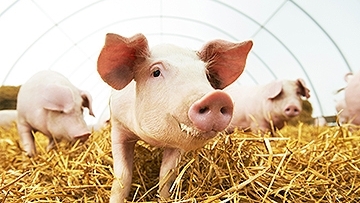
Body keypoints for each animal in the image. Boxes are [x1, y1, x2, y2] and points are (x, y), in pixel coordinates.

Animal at [96, 32, 253, 202]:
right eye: (156, 72)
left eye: (205, 75)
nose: (216, 98)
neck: (153, 140)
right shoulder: (118, 126)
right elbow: (122, 177)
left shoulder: (177, 145)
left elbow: (167, 175)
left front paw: (165, 198)